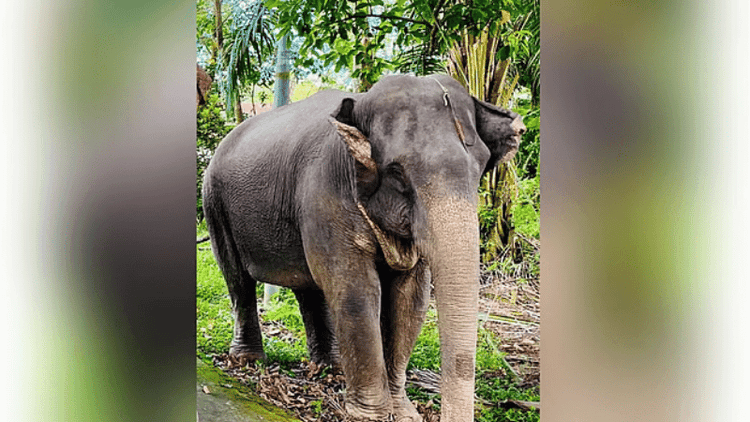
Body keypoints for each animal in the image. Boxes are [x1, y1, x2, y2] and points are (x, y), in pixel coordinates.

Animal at [202, 74, 525, 422]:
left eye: (480, 168)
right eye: (397, 173)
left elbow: (411, 299)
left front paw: (404, 414)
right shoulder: (325, 194)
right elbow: (356, 289)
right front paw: (370, 415)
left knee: (309, 288)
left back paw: (330, 368)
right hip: (214, 203)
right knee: (238, 279)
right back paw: (248, 361)